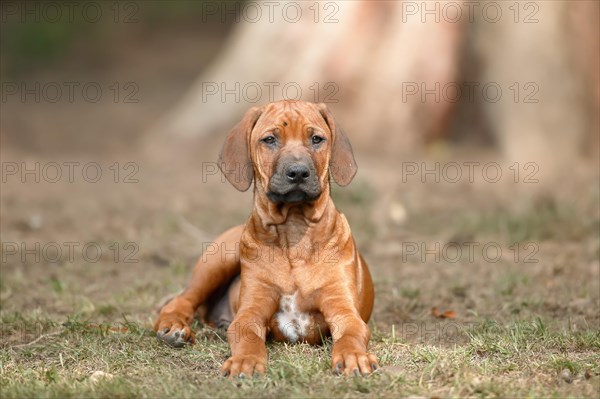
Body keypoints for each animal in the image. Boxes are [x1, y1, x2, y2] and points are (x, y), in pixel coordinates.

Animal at [152, 99, 378, 378]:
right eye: (270, 139)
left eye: (316, 139)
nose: (298, 172)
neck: (294, 231)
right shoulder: (250, 312)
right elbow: (248, 336)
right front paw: (245, 361)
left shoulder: (344, 309)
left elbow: (351, 333)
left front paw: (353, 356)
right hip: (219, 260)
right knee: (183, 299)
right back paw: (174, 327)